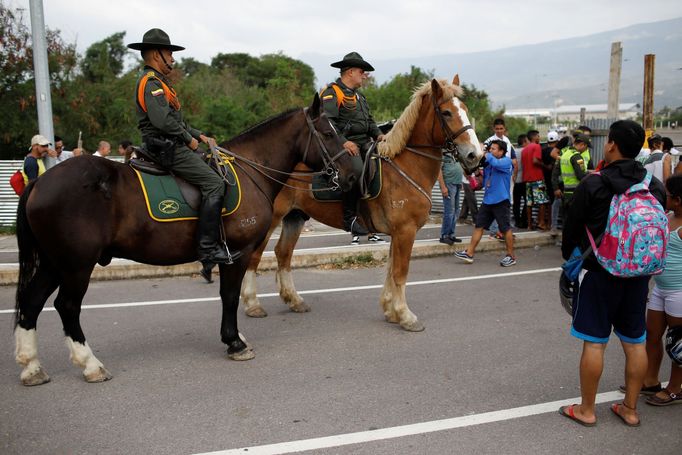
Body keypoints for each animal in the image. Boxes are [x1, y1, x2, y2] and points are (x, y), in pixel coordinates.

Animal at [13, 94, 354, 386]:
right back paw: (90, 364)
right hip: (76, 265)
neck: (250, 170)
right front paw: (234, 342)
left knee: (31, 304)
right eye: (327, 133)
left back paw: (31, 366)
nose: (351, 173)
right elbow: (230, 296)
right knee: (67, 306)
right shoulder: (237, 252)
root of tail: (40, 183)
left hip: (54, 263)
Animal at [242, 75, 480, 332]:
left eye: (465, 109)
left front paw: (390, 310)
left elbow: (391, 269)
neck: (407, 166)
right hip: (271, 220)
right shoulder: (405, 231)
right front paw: (405, 316)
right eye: (446, 112)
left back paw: (293, 299)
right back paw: (252, 303)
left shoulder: (398, 233)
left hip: (294, 217)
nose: (475, 155)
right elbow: (400, 272)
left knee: (283, 253)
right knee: (255, 256)